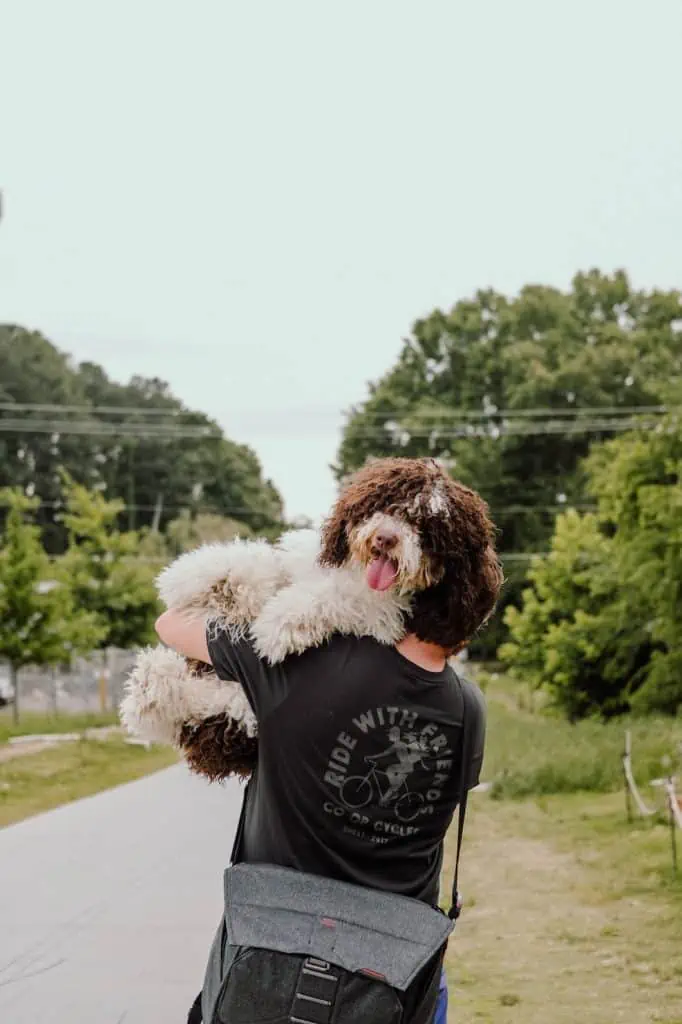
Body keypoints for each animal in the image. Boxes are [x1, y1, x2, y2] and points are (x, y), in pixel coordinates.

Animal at [119, 460, 499, 778]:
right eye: (387, 504)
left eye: (428, 529)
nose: (386, 538)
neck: (357, 574)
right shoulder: (303, 564)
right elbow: (266, 566)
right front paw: (208, 577)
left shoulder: (384, 614)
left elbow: (333, 599)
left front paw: (278, 624)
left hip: (236, 709)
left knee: (212, 706)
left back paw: (152, 688)